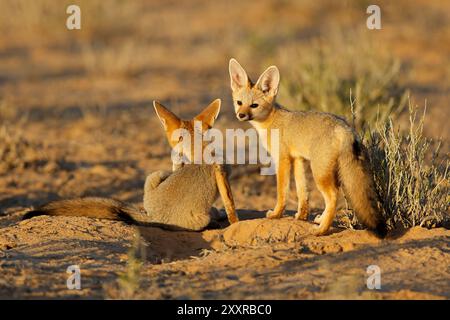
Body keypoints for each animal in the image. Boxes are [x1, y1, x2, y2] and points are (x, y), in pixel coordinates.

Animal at [22, 99, 239, 230]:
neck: (197, 149)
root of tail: (153, 217)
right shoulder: (222, 173)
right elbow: (230, 204)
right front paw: (234, 223)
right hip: (200, 217)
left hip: (155, 175)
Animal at [229, 58, 386, 238]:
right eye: (239, 103)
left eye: (254, 105)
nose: (241, 115)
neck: (271, 120)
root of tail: (345, 128)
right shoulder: (298, 159)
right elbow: (302, 190)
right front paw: (302, 216)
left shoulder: (282, 159)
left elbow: (282, 192)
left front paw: (276, 214)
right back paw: (320, 220)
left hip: (319, 172)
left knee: (333, 196)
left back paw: (322, 230)